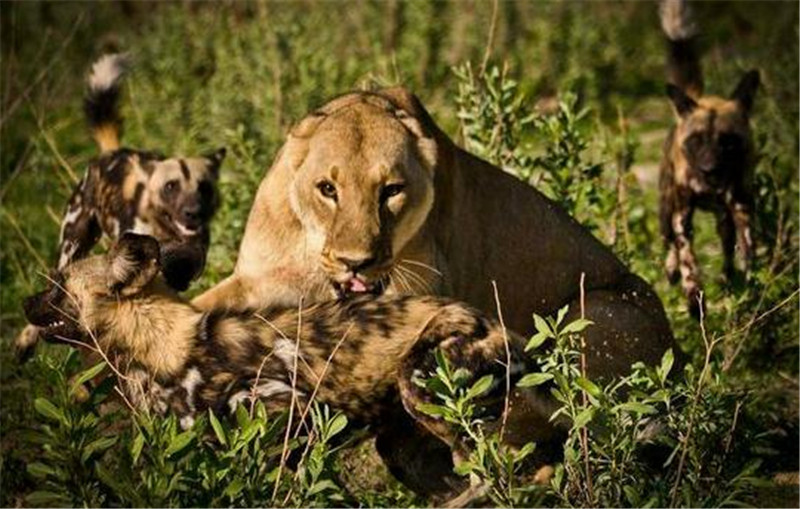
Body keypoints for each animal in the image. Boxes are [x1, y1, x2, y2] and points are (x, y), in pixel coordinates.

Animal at [16, 53, 228, 358]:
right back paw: (26, 341)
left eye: (204, 187)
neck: (167, 231)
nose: (193, 213)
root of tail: (111, 152)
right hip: (71, 246)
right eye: (171, 186)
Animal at [25, 232, 536, 474]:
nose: (23, 303)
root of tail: (493, 323)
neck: (162, 348)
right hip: (406, 443)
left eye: (58, 286)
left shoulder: (289, 417)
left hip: (427, 392)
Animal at [660, 0, 760, 318]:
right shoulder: (682, 213)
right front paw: (694, 298)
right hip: (666, 208)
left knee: (727, 243)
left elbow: (747, 248)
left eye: (727, 142)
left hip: (723, 217)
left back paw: (728, 279)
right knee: (669, 242)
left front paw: (749, 285)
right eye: (696, 140)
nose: (709, 170)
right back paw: (672, 271)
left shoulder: (741, 206)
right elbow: (688, 257)